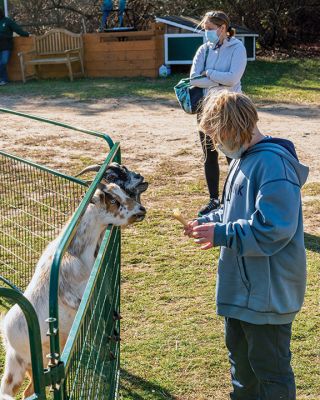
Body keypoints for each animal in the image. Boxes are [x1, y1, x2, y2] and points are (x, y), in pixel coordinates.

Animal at [0, 182, 146, 400]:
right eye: (113, 200)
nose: (140, 210)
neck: (75, 253)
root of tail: (8, 341)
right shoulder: (76, 297)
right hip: (40, 361)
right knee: (28, 392)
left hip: (21, 367)